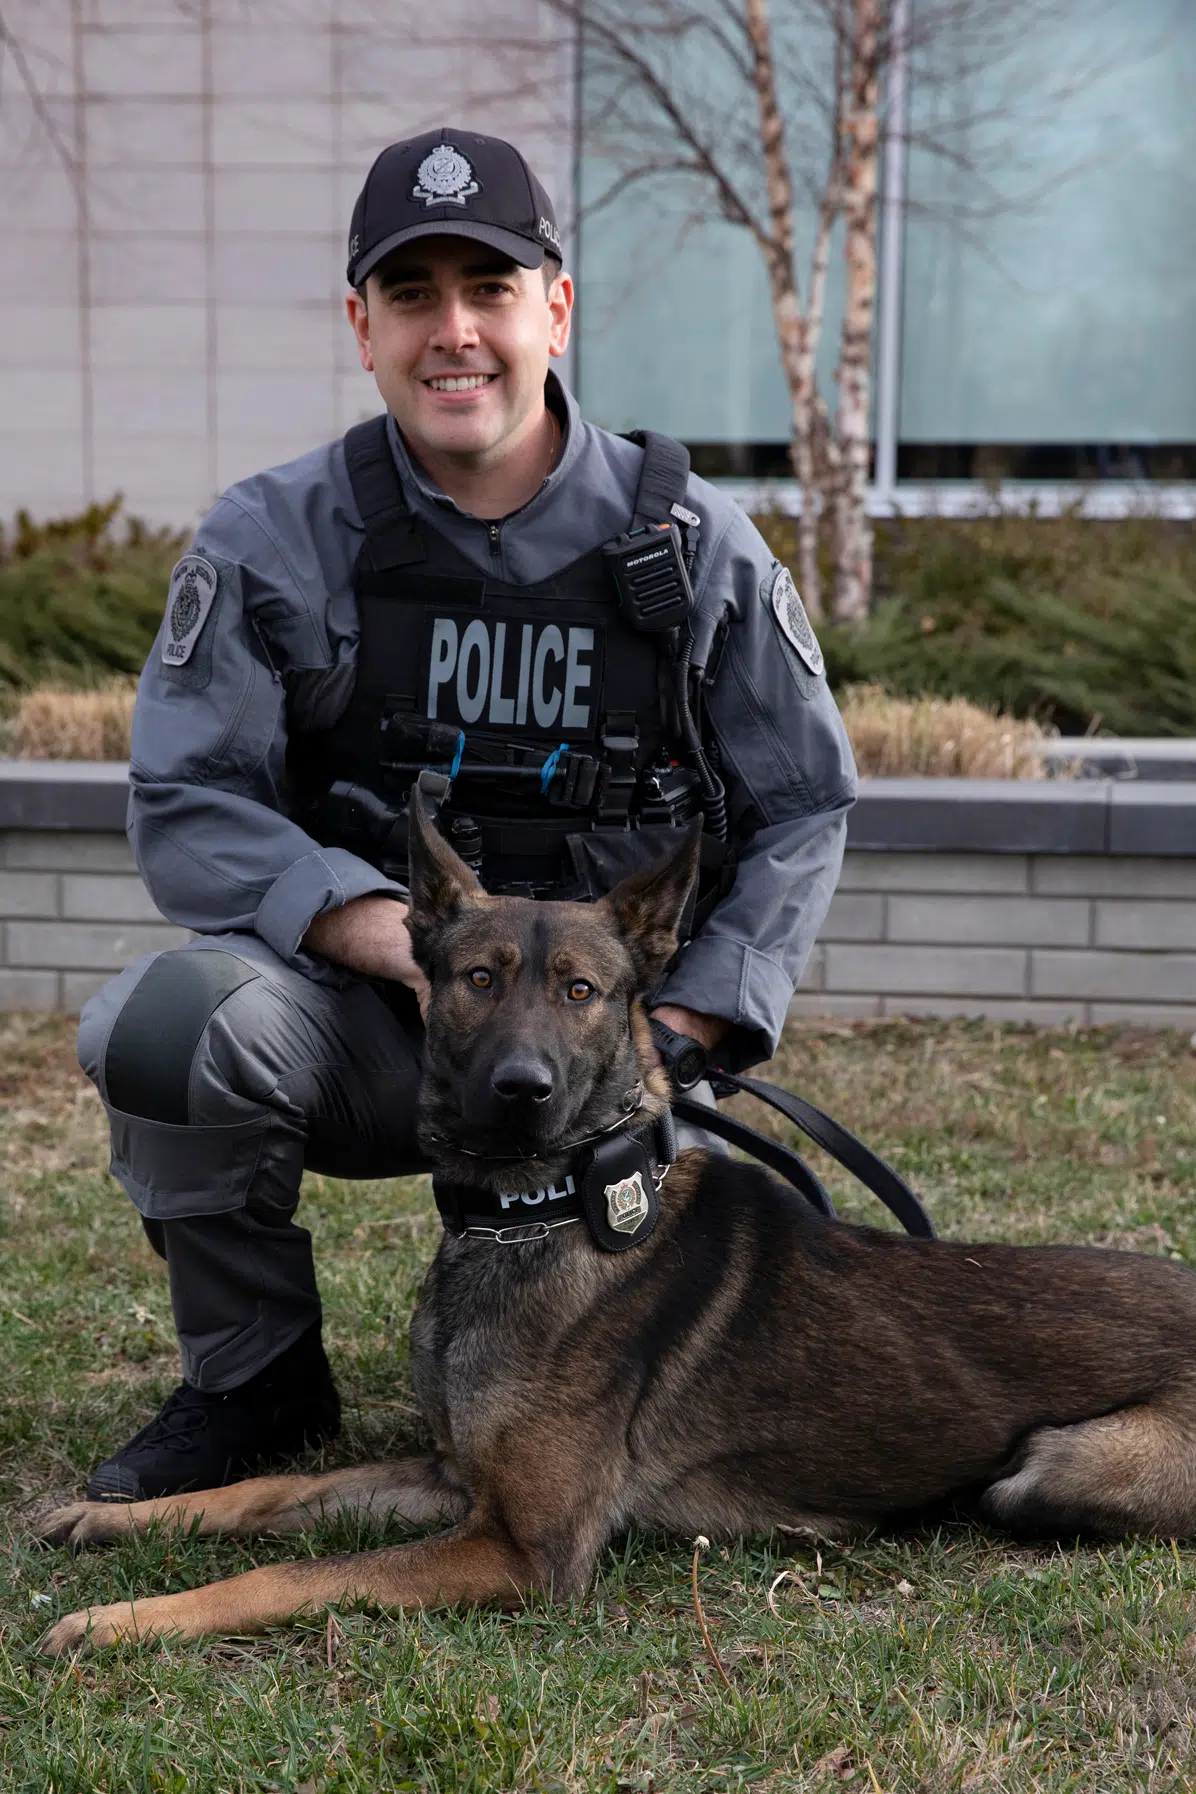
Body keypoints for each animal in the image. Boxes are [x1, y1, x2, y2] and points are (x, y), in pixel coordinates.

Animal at [37, 800, 1196, 1650]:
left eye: (583, 991)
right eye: (477, 979)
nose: (522, 1089)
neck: (529, 1216)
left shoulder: (523, 1551)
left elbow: (292, 1570)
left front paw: (127, 1618)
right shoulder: (453, 1483)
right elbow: (273, 1489)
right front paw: (121, 1521)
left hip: (1048, 1470)